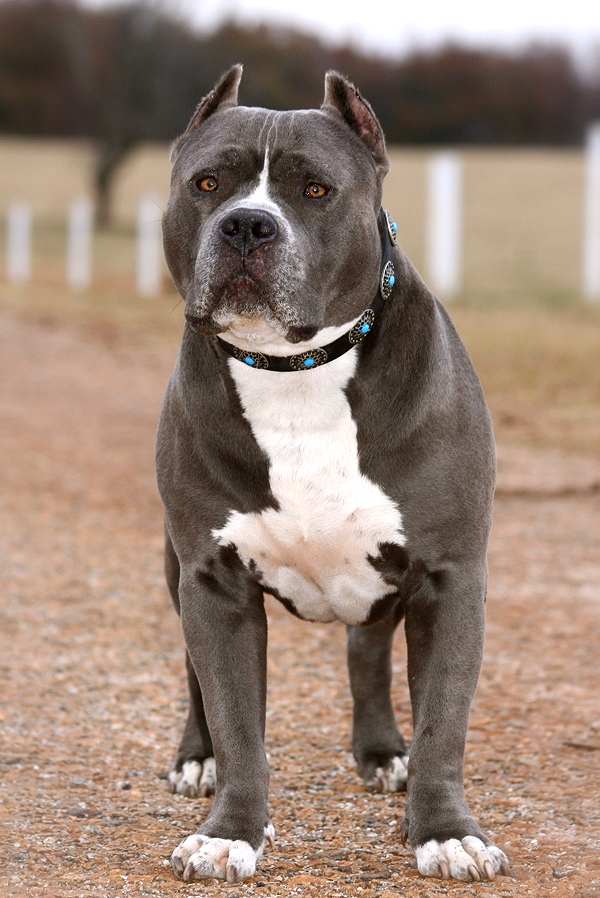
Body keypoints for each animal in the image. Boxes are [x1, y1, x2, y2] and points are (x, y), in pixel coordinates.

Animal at [157, 63, 508, 880]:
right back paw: (197, 758)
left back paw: (382, 752)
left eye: (315, 189)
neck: (297, 370)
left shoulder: (449, 576)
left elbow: (444, 721)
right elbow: (236, 718)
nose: (247, 226)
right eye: (207, 183)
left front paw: (446, 831)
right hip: (172, 569)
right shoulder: (212, 581)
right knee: (195, 677)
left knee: (367, 648)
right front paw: (231, 831)